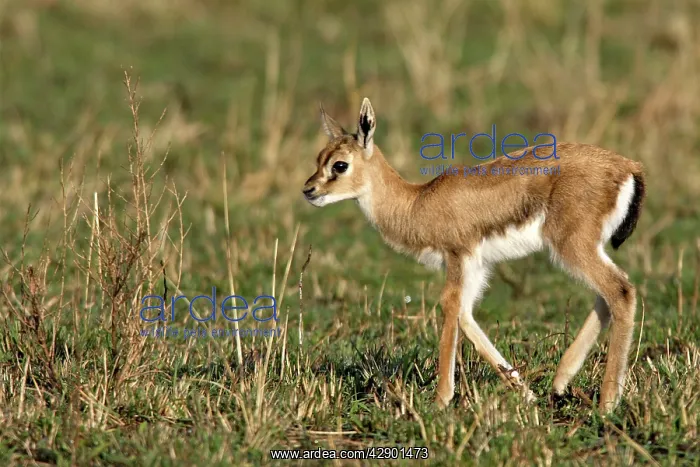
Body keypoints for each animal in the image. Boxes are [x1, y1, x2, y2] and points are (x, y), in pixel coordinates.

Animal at [302, 98, 646, 413]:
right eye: (319, 158)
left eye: (340, 165)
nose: (309, 190)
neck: (418, 203)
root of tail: (629, 167)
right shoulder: (477, 267)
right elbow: (466, 317)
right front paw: (525, 394)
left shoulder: (458, 257)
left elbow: (450, 307)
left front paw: (440, 401)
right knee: (608, 294)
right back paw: (561, 382)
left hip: (571, 247)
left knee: (620, 290)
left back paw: (607, 404)